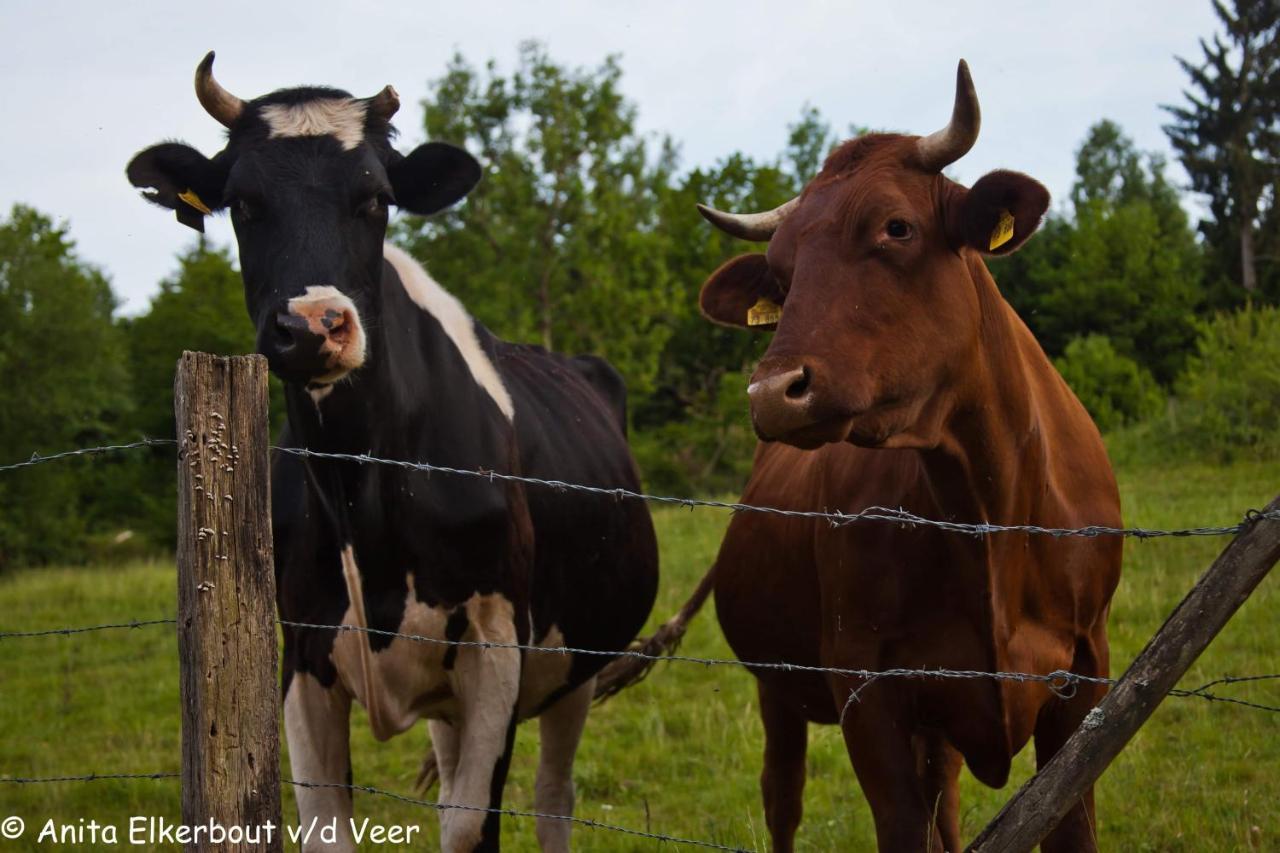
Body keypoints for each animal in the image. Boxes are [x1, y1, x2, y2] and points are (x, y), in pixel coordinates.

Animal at [127, 54, 660, 850]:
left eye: (375, 197)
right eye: (243, 202)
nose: (313, 326)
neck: (361, 491)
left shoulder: (498, 649)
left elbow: (472, 825)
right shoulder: (305, 653)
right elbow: (329, 827)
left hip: (579, 662)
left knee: (553, 797)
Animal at [650, 63, 1121, 845]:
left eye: (895, 226)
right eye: (779, 275)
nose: (772, 392)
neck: (987, 503)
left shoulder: (1084, 675)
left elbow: (1067, 825)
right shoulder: (865, 688)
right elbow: (901, 826)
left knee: (945, 800)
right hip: (777, 685)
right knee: (783, 796)